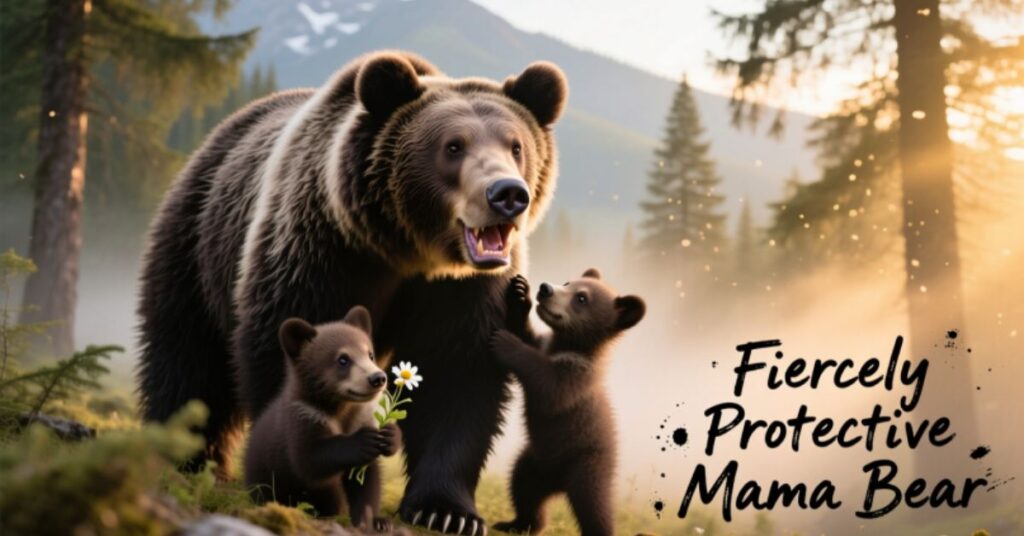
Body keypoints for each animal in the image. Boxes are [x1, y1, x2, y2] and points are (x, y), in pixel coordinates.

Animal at [244, 307, 400, 531]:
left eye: (370, 354)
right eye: (343, 359)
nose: (377, 378)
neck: (339, 410)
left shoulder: (360, 417)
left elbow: (367, 481)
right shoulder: (303, 418)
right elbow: (309, 460)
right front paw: (364, 441)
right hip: (263, 470)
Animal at [489, 269, 645, 536]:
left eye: (581, 298)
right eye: (568, 282)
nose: (545, 288)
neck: (567, 346)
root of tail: (558, 484)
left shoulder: (576, 377)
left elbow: (548, 385)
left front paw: (505, 342)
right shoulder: (546, 345)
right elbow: (528, 336)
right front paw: (520, 295)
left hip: (587, 466)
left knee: (594, 506)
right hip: (534, 463)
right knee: (523, 488)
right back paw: (515, 524)